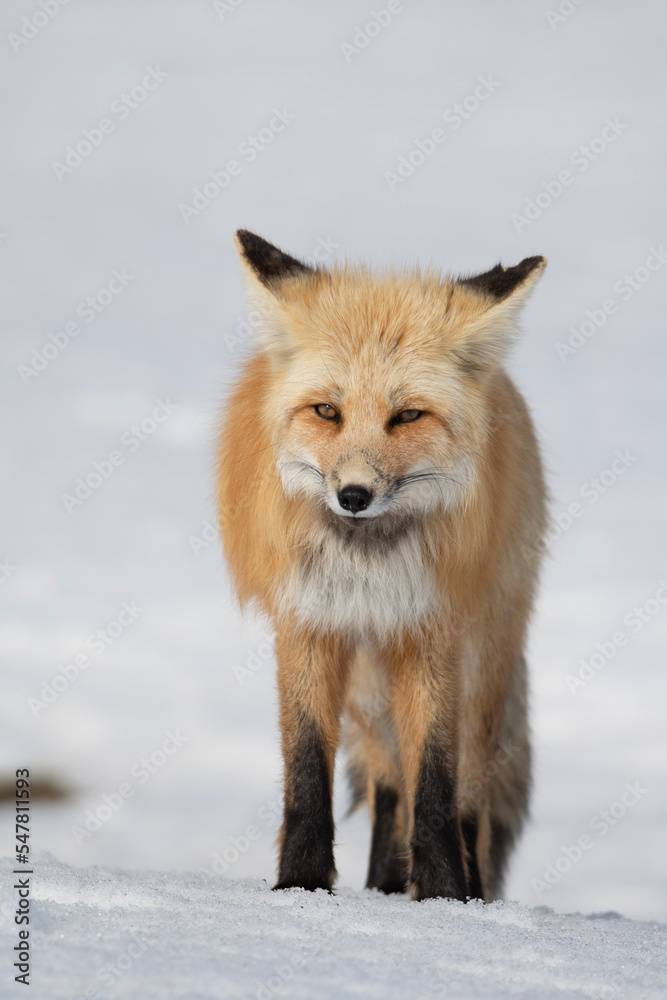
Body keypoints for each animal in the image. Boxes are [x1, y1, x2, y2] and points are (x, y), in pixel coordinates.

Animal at [217, 229, 548, 902]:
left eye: (407, 416)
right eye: (326, 412)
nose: (353, 494)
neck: (366, 572)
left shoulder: (430, 631)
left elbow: (439, 785)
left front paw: (446, 897)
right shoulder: (308, 624)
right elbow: (307, 773)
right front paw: (301, 885)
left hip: (482, 662)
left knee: (467, 792)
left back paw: (457, 891)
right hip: (369, 689)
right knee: (390, 783)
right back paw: (382, 890)